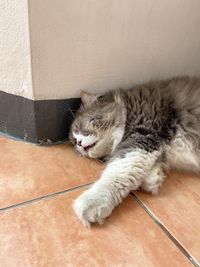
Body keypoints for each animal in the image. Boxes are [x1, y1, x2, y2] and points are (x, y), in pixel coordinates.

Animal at [69, 76, 200, 228]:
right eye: (73, 141)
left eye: (81, 127)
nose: (78, 143)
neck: (129, 108)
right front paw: (153, 179)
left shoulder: (142, 139)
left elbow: (118, 174)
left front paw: (91, 204)